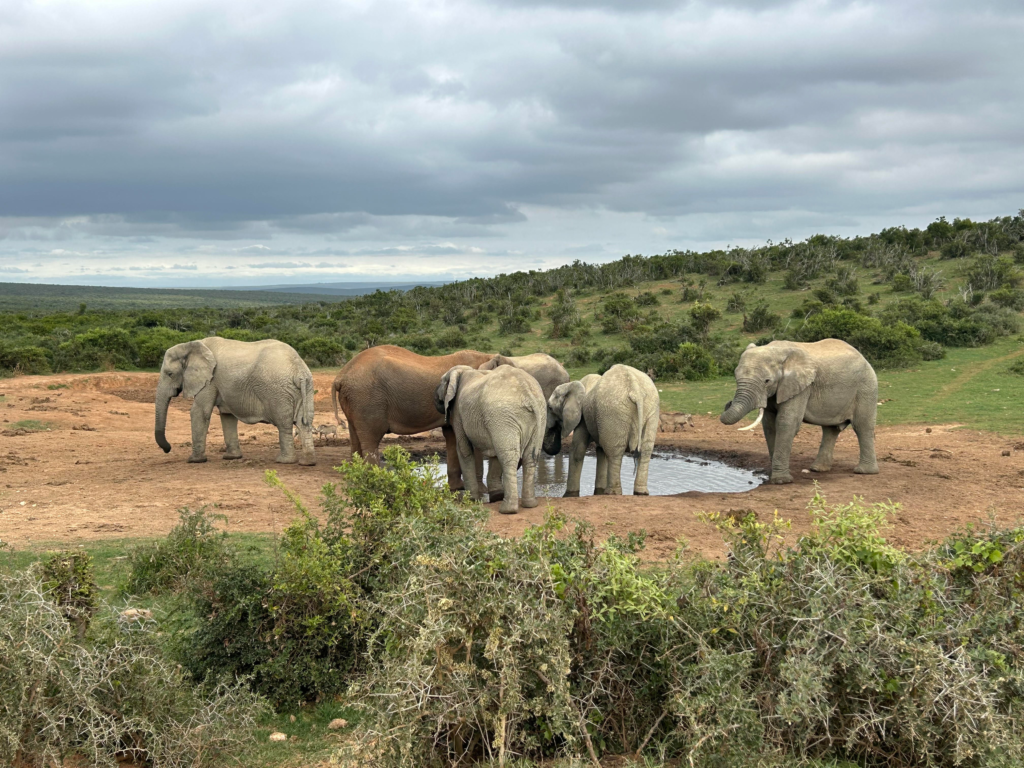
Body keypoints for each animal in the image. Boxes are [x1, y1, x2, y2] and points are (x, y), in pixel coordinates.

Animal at [155, 337, 316, 465]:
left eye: (169, 374)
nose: (168, 449)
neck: (190, 345)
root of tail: (299, 369)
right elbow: (227, 416)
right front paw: (232, 458)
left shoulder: (210, 380)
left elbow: (199, 411)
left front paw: (194, 461)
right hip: (306, 387)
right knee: (304, 423)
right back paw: (307, 462)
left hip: (277, 391)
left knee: (284, 423)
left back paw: (284, 461)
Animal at [435, 364, 546, 514]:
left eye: (441, 381)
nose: (435, 398)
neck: (465, 370)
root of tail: (527, 391)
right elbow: (494, 453)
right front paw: (496, 496)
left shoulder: (458, 412)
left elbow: (464, 449)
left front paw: (471, 500)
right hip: (538, 416)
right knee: (529, 456)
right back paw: (530, 504)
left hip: (503, 415)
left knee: (508, 457)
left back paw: (507, 510)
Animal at [543, 364, 660, 496]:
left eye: (550, 408)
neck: (572, 385)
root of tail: (636, 391)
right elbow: (600, 451)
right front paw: (599, 490)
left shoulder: (583, 416)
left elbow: (578, 450)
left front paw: (570, 495)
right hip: (651, 410)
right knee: (645, 450)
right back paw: (641, 492)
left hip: (614, 412)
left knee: (614, 453)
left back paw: (612, 492)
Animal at [719, 339, 879, 484]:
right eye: (736, 377)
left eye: (767, 381)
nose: (728, 403)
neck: (776, 350)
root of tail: (862, 356)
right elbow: (769, 426)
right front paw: (772, 477)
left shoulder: (801, 387)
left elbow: (786, 422)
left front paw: (781, 481)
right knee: (830, 430)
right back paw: (818, 469)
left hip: (866, 387)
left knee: (862, 426)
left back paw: (864, 472)